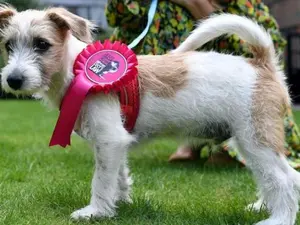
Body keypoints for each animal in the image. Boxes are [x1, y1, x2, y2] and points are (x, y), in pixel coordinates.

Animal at [0, 4, 300, 225]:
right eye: (8, 46)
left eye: (42, 44)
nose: (13, 80)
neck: (77, 69)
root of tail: (262, 63)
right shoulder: (115, 143)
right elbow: (118, 176)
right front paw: (119, 204)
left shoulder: (109, 140)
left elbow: (101, 179)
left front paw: (95, 212)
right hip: (249, 142)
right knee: (281, 178)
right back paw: (262, 207)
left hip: (256, 139)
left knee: (284, 179)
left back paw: (278, 220)